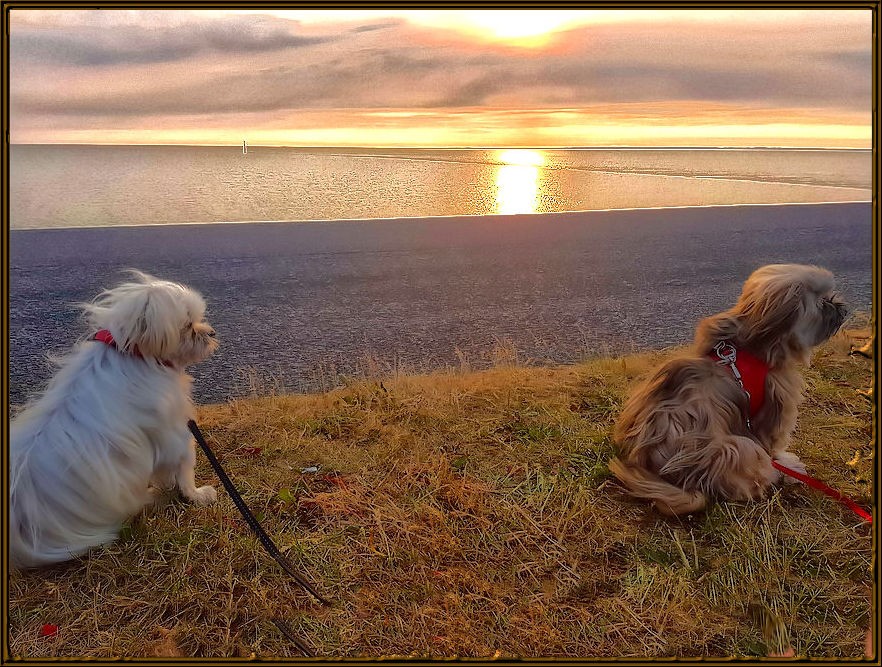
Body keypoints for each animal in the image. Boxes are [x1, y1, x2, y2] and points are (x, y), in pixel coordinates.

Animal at [11, 272, 219, 568]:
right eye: (188, 325)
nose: (211, 333)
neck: (137, 355)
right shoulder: (174, 435)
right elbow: (184, 471)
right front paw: (198, 495)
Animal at [604, 264, 844, 516]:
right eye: (822, 302)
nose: (842, 308)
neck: (754, 344)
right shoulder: (776, 406)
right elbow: (773, 445)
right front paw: (786, 465)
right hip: (737, 448)